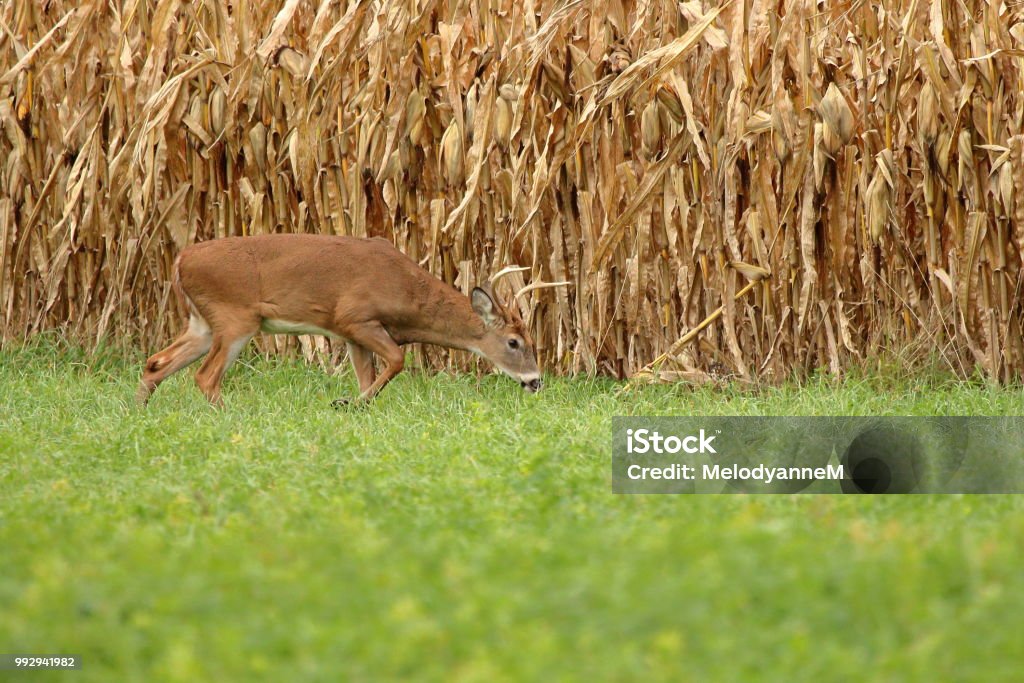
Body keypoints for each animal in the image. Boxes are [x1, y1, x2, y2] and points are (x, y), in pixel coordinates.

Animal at [135, 235, 565, 405]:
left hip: (202, 323)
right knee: (205, 376)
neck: (407, 295)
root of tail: (180, 260)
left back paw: (138, 411)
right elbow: (397, 361)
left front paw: (355, 403)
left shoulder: (353, 335)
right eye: (514, 342)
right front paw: (347, 402)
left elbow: (368, 374)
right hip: (234, 317)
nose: (536, 381)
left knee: (155, 362)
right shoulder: (355, 317)